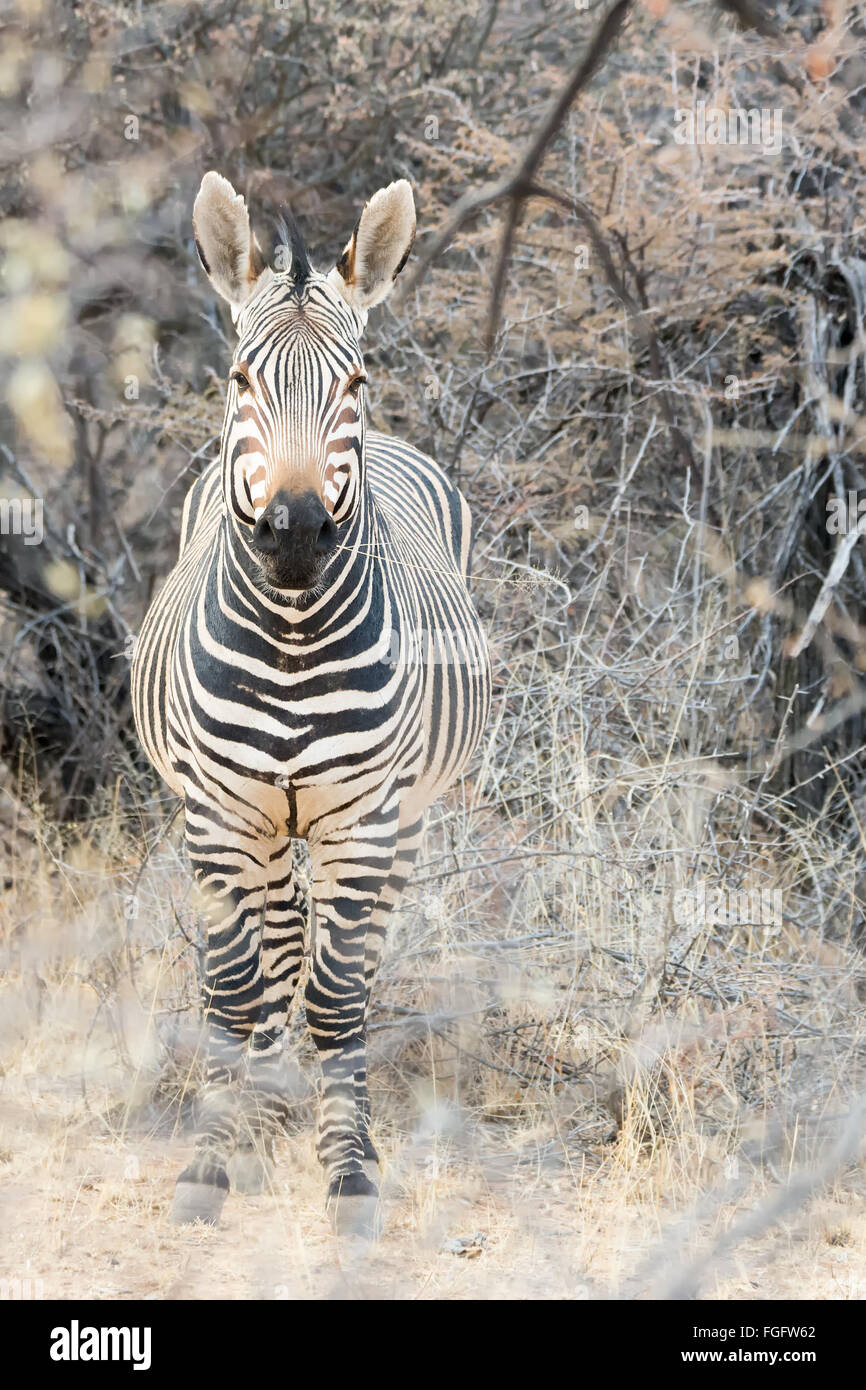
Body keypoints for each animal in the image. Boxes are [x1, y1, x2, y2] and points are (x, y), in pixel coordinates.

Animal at [131, 170, 492, 1228]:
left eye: (354, 384)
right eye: (240, 380)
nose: (293, 533)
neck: (291, 639)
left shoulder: (362, 821)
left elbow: (337, 997)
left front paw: (350, 1167)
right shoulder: (218, 815)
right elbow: (235, 990)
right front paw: (213, 1156)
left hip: (402, 820)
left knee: (344, 959)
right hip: (264, 823)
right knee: (283, 940)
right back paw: (260, 1100)